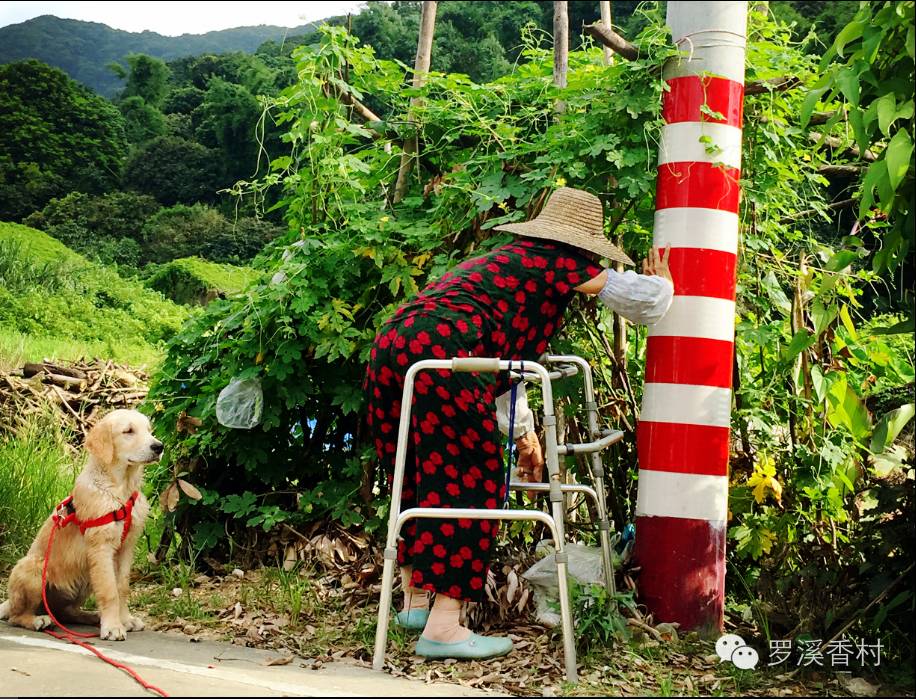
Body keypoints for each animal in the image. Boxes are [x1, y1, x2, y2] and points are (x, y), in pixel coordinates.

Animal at [0, 408, 161, 644]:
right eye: (128, 431)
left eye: (149, 430)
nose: (159, 447)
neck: (118, 488)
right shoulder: (101, 548)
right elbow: (109, 590)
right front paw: (113, 627)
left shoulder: (126, 547)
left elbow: (121, 587)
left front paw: (125, 620)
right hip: (35, 568)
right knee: (16, 616)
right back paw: (37, 620)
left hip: (83, 578)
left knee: (65, 612)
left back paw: (92, 616)